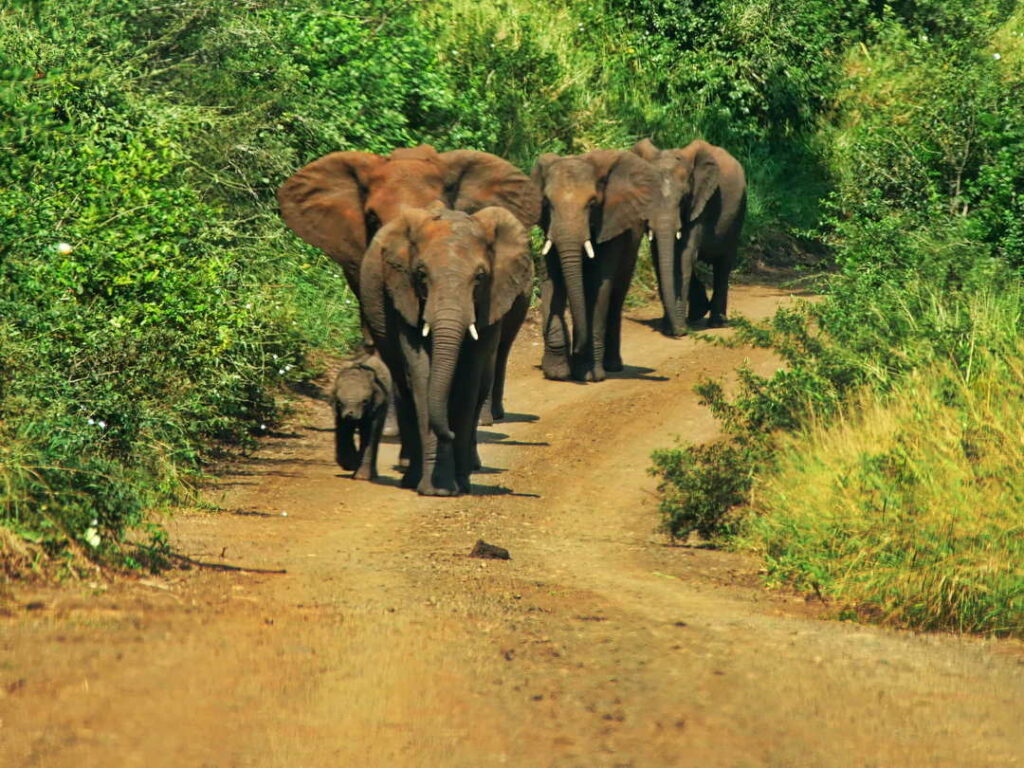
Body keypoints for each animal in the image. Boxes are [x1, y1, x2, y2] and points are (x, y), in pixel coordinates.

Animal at [358, 202, 532, 499]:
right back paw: (411, 478)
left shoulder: (490, 301)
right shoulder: (404, 295)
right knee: (404, 389)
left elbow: (468, 378)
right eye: (421, 274)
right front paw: (436, 489)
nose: (448, 432)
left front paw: (454, 486)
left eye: (480, 277)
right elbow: (422, 372)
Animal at [532, 149, 659, 382]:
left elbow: (597, 285)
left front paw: (589, 375)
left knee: (616, 296)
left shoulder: (610, 225)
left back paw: (613, 366)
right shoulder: (549, 227)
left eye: (592, 204)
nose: (575, 351)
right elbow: (553, 282)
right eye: (547, 203)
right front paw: (557, 373)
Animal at [626, 139, 749, 335]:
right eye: (646, 194)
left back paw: (717, 323)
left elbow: (685, 256)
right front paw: (669, 326)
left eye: (683, 198)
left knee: (723, 264)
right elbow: (659, 258)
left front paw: (676, 329)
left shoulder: (701, 204)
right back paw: (697, 314)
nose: (679, 332)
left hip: (738, 215)